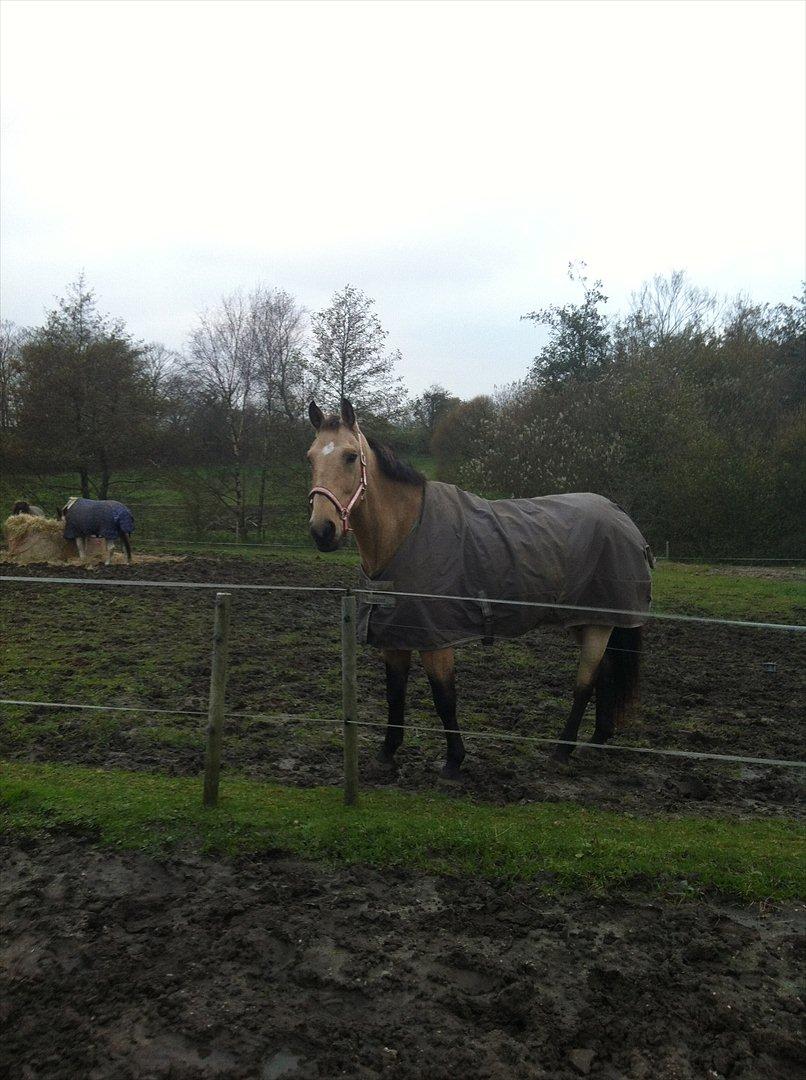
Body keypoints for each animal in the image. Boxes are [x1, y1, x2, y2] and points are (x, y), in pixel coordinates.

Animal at [304, 397, 648, 777]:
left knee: (585, 682)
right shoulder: (396, 635)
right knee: (605, 673)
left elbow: (444, 698)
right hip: (588, 621)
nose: (322, 531)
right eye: (310, 457)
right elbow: (395, 692)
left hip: (599, 623)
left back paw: (562, 750)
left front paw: (454, 762)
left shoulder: (436, 639)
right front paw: (387, 752)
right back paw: (597, 739)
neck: (406, 532)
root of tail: (621, 515)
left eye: (351, 456)